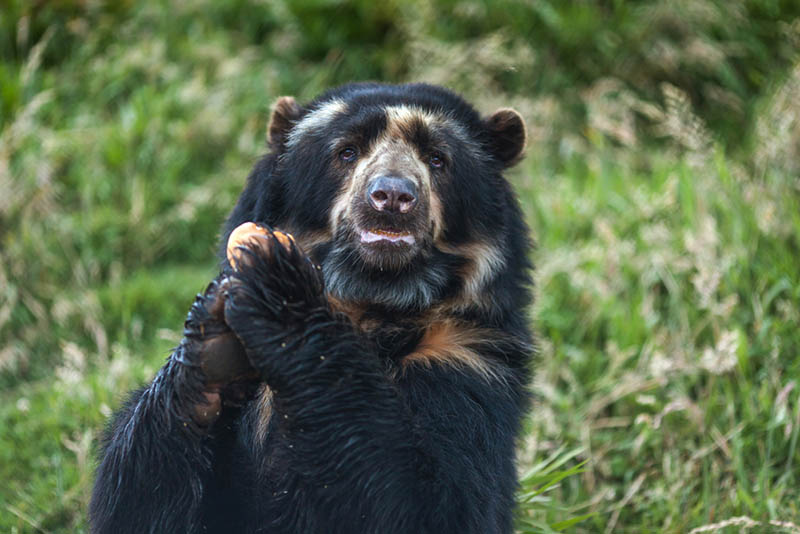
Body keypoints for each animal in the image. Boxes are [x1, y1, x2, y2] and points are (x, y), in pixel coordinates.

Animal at [89, 82, 532, 534]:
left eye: (438, 159)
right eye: (347, 152)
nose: (392, 197)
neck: (372, 302)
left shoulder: (466, 358)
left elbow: (426, 500)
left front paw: (275, 281)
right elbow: (138, 498)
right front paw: (212, 346)